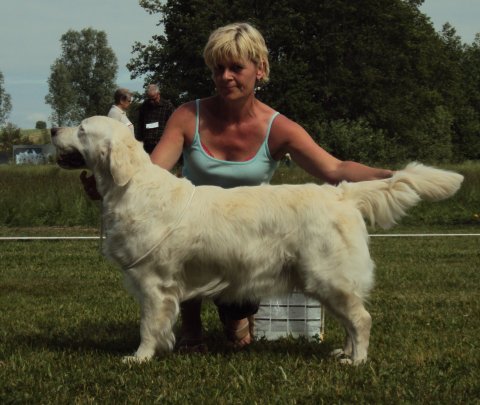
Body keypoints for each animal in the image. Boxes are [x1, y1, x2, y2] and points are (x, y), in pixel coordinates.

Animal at [51, 116, 462, 362]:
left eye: (82, 129)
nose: (54, 129)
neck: (131, 186)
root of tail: (341, 193)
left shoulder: (154, 282)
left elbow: (148, 326)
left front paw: (139, 358)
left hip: (327, 275)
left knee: (361, 318)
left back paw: (357, 362)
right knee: (351, 320)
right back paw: (344, 354)